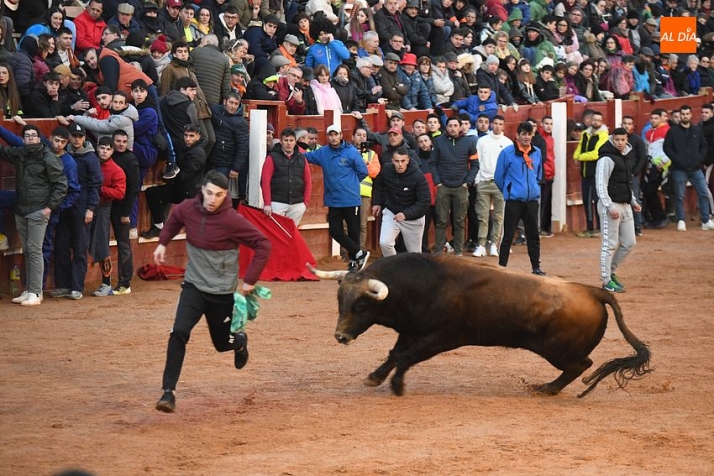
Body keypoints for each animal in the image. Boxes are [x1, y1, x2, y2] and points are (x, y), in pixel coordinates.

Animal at [308, 253, 652, 398]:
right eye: (339, 300)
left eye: (361, 305)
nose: (340, 336)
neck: (418, 285)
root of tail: (592, 290)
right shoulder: (411, 331)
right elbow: (395, 355)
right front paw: (376, 378)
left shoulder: (439, 339)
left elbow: (405, 358)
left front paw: (397, 386)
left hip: (558, 351)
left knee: (582, 365)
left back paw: (548, 388)